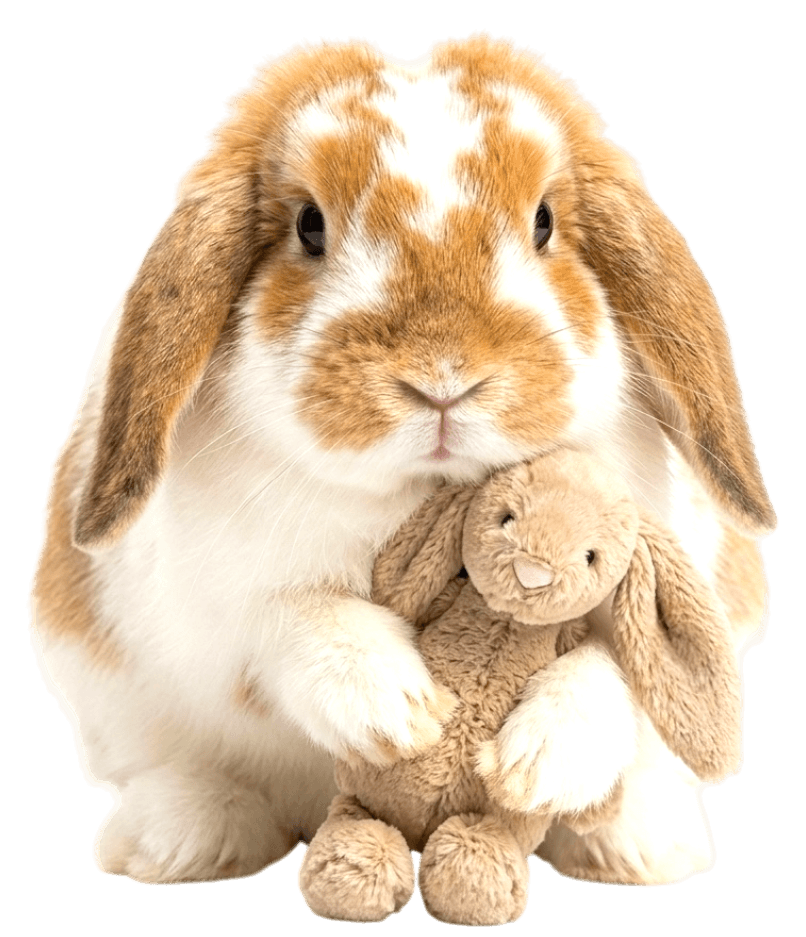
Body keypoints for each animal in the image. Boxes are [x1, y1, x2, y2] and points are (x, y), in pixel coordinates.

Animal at [29, 33, 775, 887]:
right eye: (309, 226)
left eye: (545, 221)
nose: (443, 376)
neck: (425, 491)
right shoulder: (221, 600)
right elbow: (293, 620)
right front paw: (403, 710)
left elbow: (618, 671)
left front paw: (536, 761)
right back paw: (184, 839)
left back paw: (639, 844)